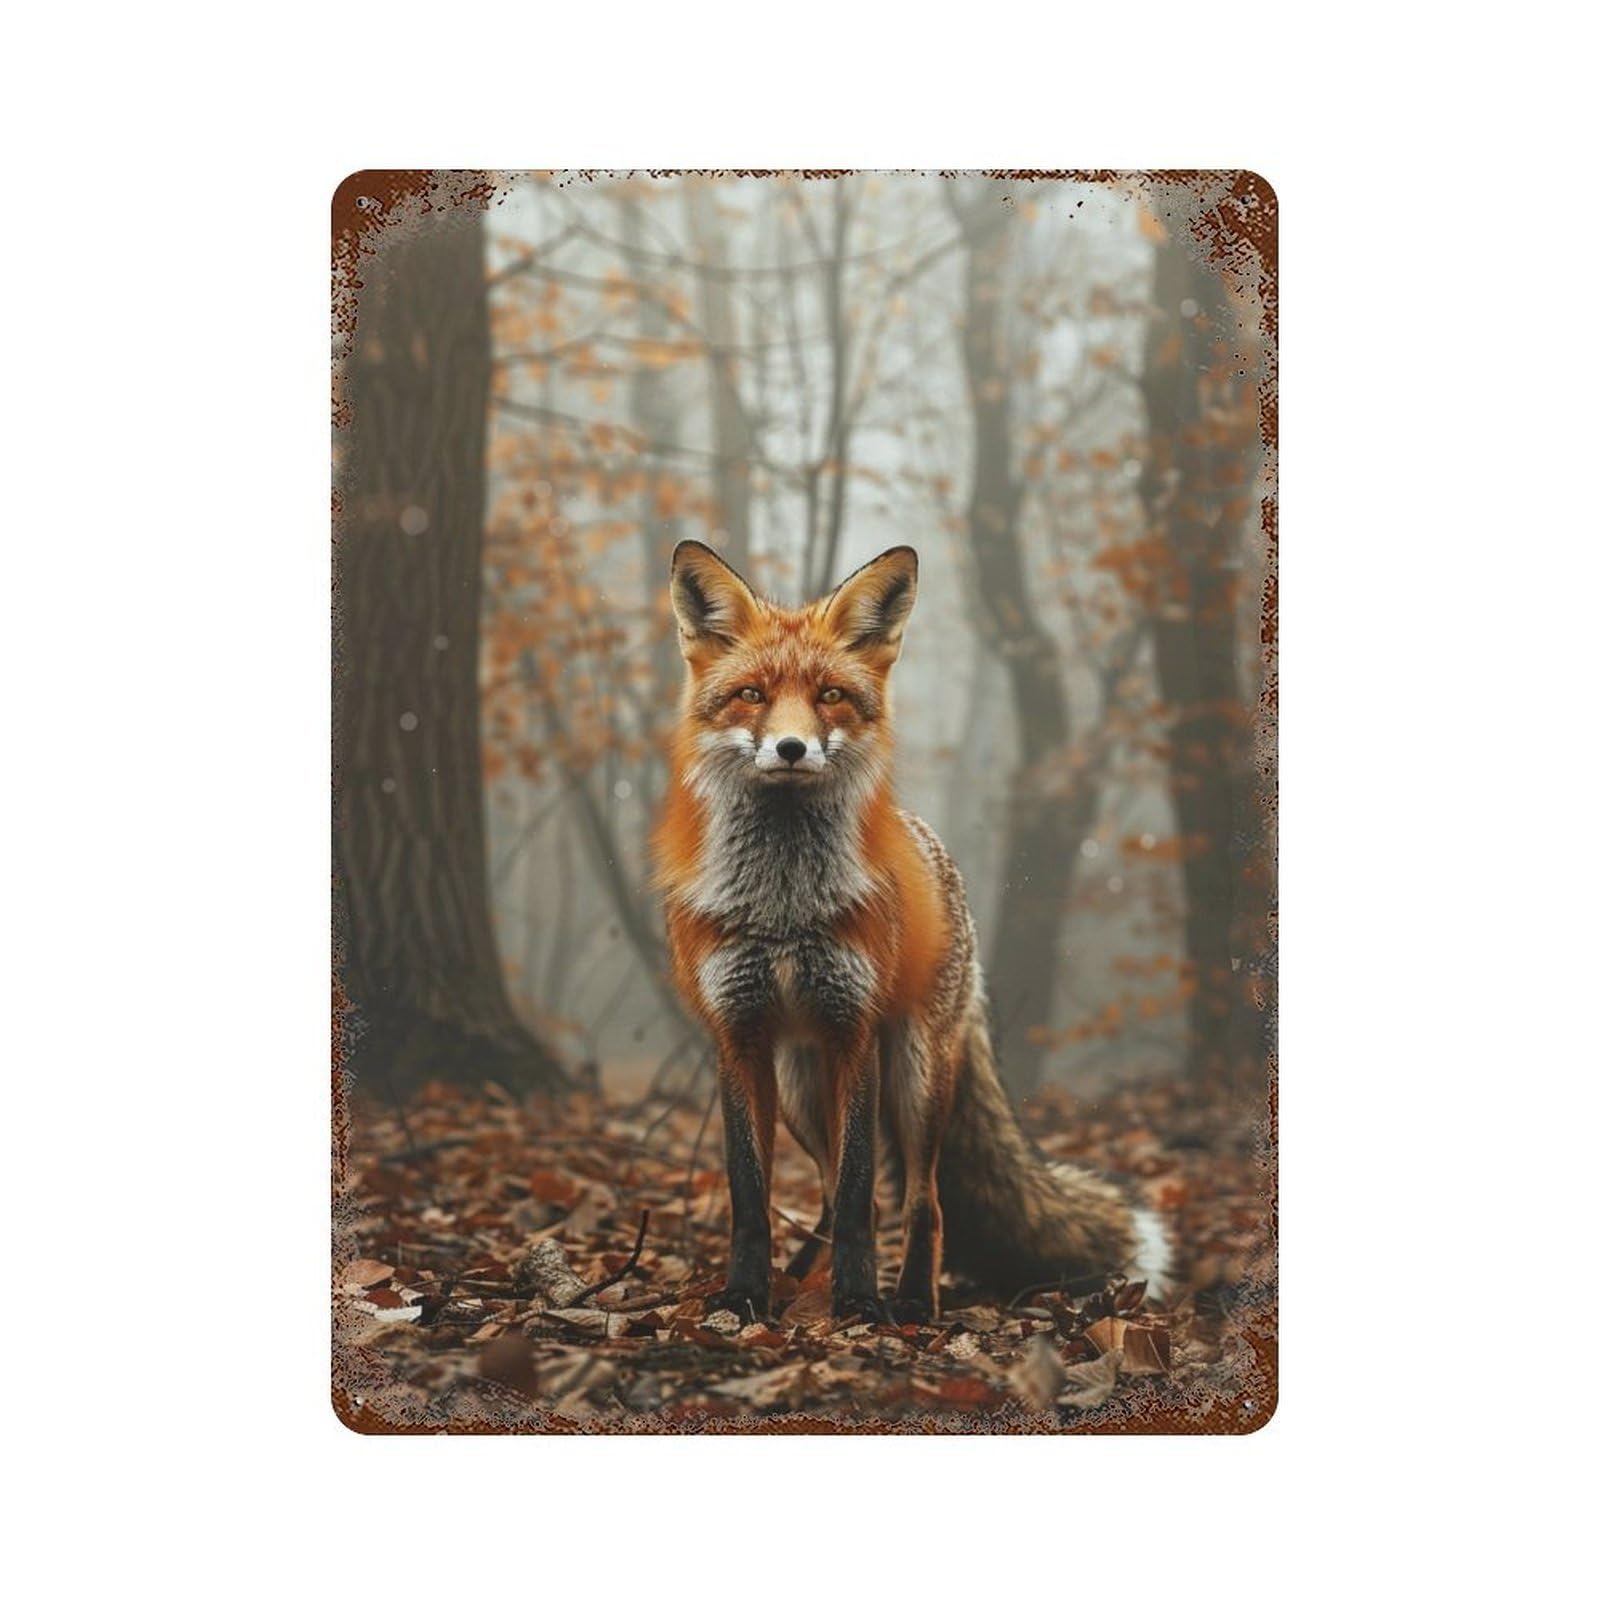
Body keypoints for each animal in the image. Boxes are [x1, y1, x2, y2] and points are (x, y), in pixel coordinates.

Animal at [652, 539, 1173, 1324]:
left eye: (831, 695)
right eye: (752, 695)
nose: (792, 748)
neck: (784, 909)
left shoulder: (854, 1029)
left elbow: (862, 1191)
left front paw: (860, 1303)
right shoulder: (737, 1036)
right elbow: (752, 1195)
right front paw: (745, 1295)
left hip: (915, 1075)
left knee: (923, 1200)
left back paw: (912, 1304)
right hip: (802, 1092)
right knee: (841, 1199)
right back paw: (799, 1283)